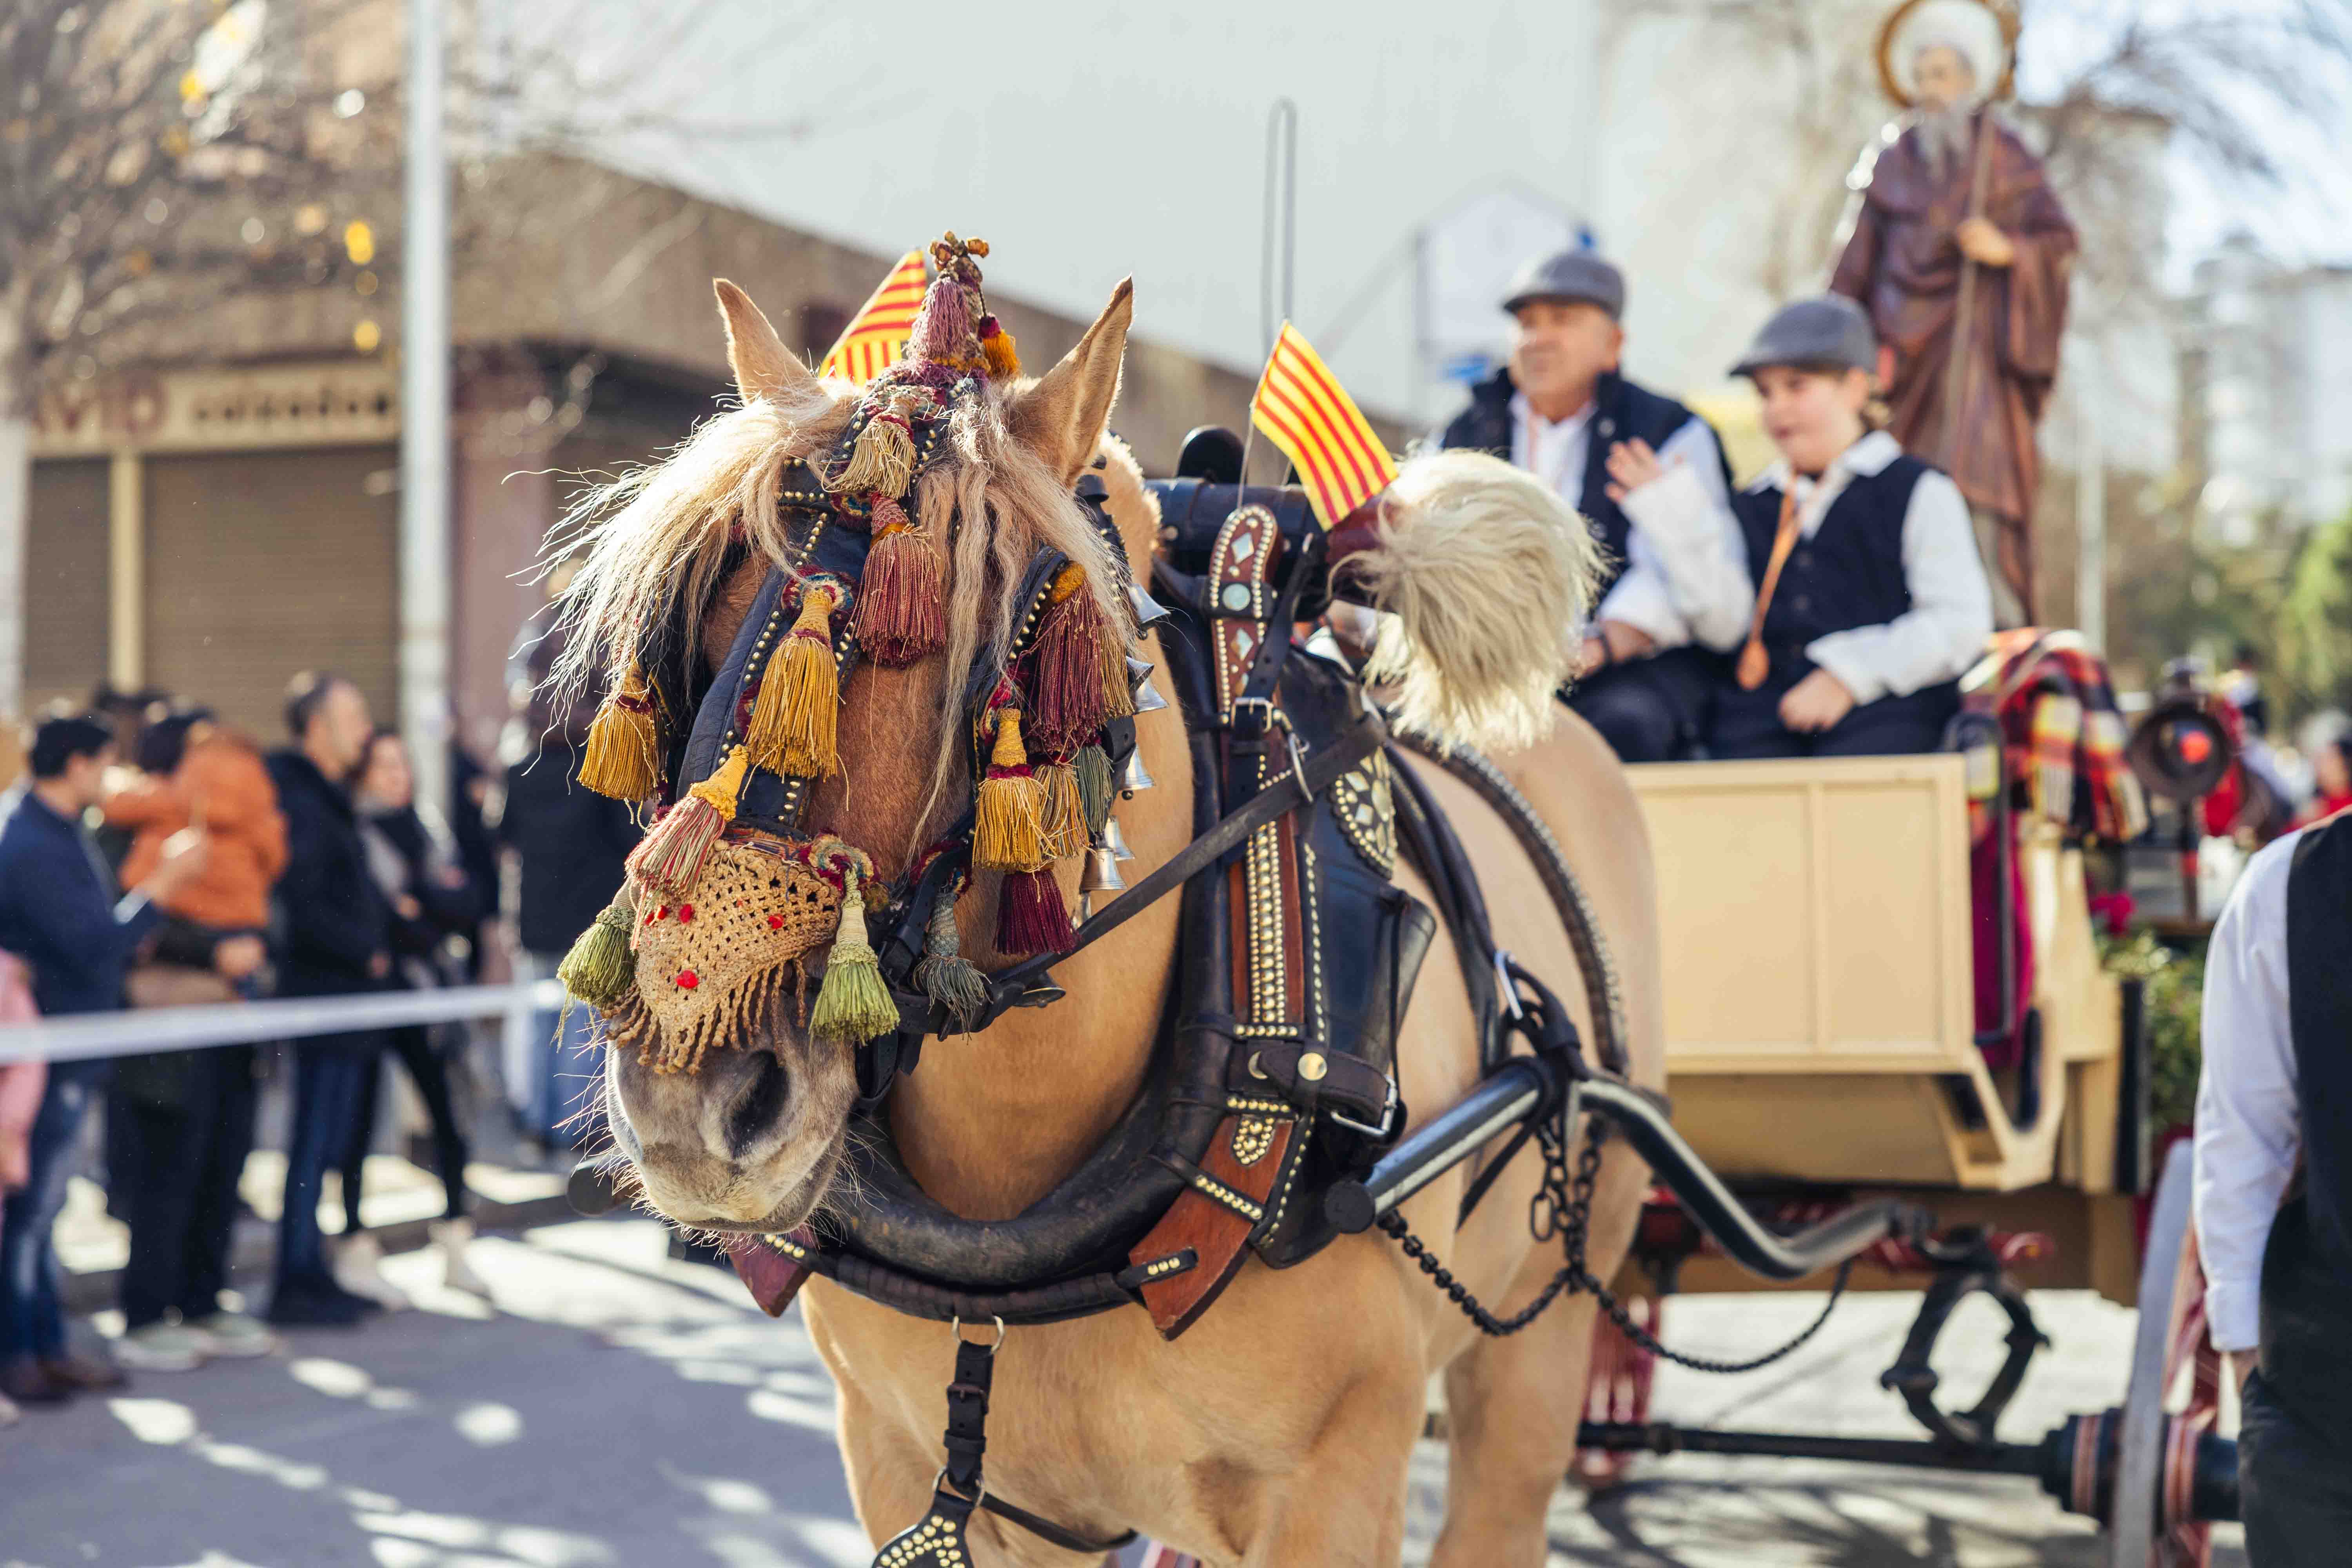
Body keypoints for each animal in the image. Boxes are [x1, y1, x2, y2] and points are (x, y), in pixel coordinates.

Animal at [555, 236, 1675, 1568]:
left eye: (954, 641)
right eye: (702, 624)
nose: (690, 1095)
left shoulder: (1336, 1485)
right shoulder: (914, 1464)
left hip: (1538, 1347)